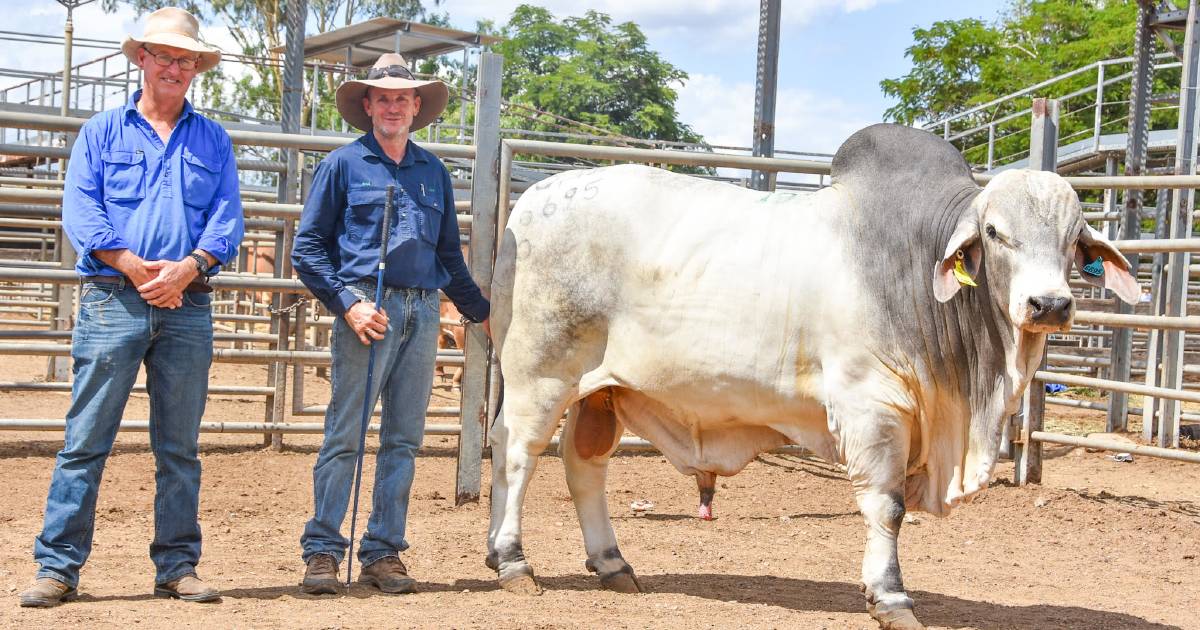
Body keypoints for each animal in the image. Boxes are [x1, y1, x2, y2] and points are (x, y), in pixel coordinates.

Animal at [482, 124, 1137, 628]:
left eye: (1075, 240)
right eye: (997, 232)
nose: (1049, 304)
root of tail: (531, 200)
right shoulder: (871, 406)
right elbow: (886, 506)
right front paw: (890, 596)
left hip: (603, 391)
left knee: (582, 464)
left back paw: (611, 563)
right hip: (540, 372)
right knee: (517, 453)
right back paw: (512, 560)